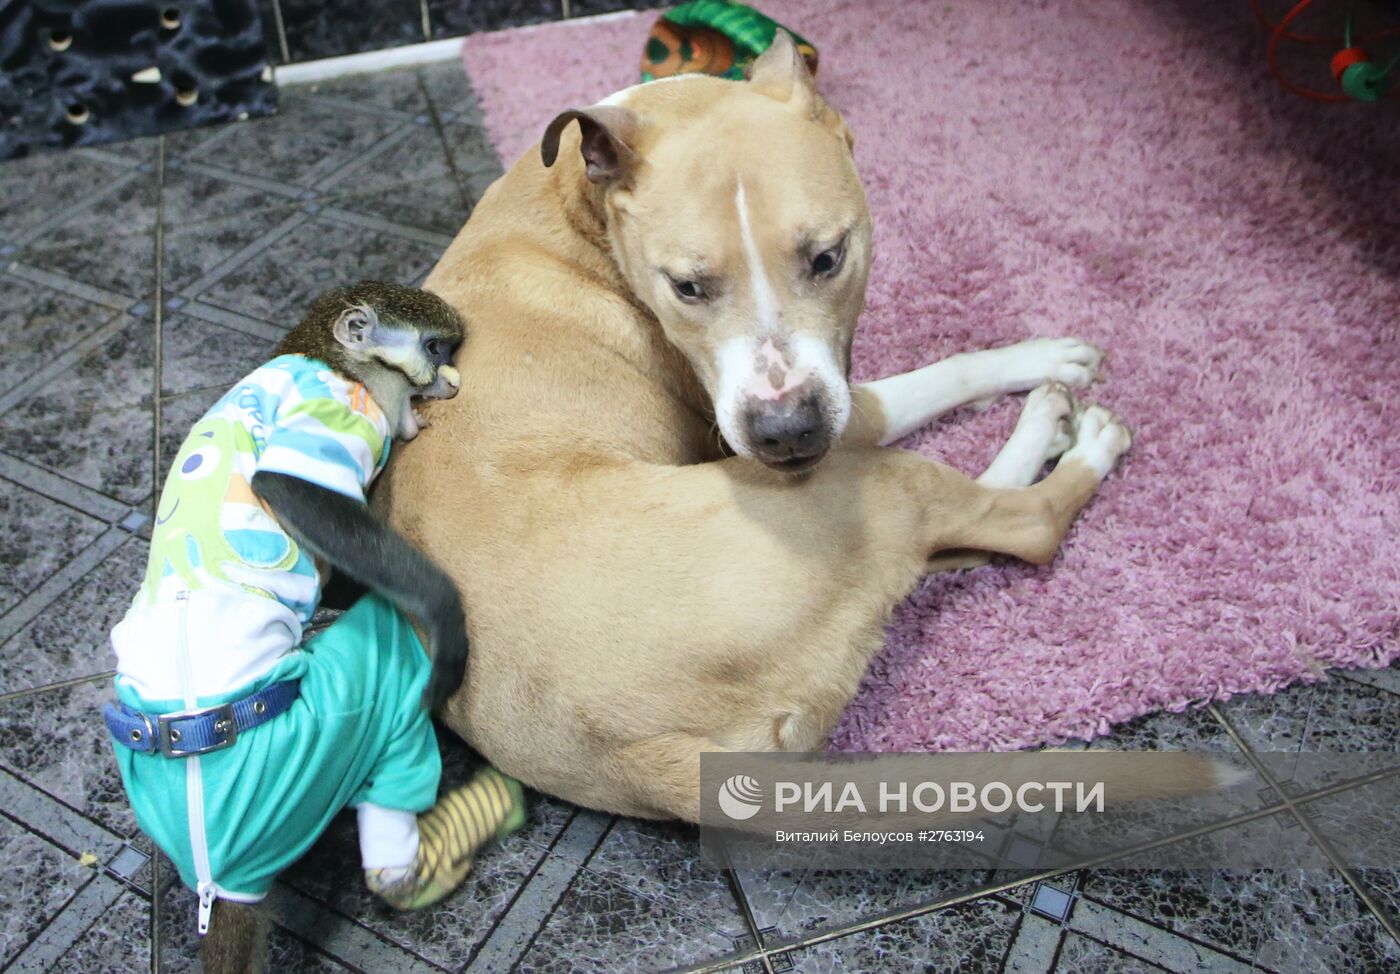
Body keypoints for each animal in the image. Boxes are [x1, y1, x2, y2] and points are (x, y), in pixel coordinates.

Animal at [102, 282, 527, 974]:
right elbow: (290, 488)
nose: (447, 380)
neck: (326, 354)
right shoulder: (342, 409)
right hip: (297, 754)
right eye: (436, 350)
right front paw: (445, 613)